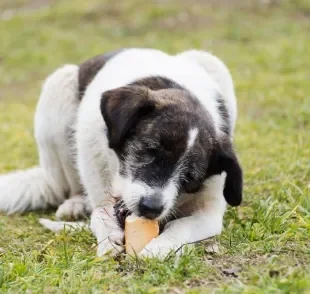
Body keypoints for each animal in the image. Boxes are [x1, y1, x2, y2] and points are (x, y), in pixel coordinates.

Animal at [0, 47, 242, 258]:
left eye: (190, 177)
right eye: (149, 150)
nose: (150, 208)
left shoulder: (209, 213)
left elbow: (180, 225)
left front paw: (161, 246)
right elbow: (99, 215)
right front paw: (108, 238)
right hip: (58, 85)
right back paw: (75, 203)